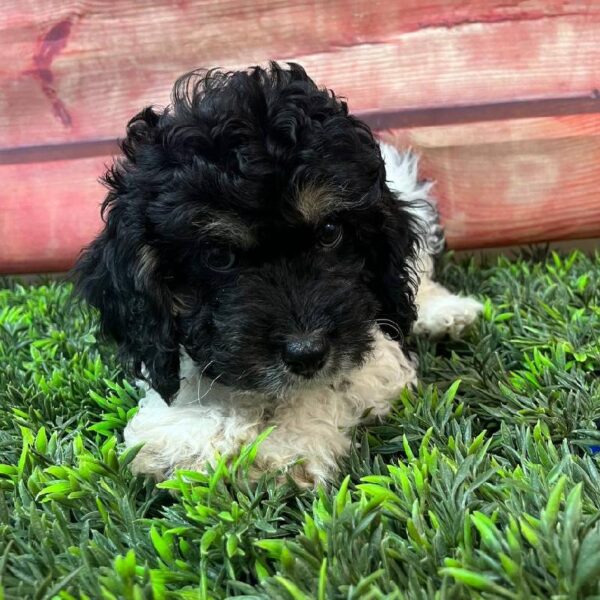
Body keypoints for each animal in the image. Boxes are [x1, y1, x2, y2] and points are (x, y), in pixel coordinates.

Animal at [74, 63, 482, 486]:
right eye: (218, 255)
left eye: (330, 232)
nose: (307, 353)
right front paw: (187, 437)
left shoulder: (373, 342)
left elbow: (333, 383)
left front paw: (284, 446)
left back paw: (446, 314)